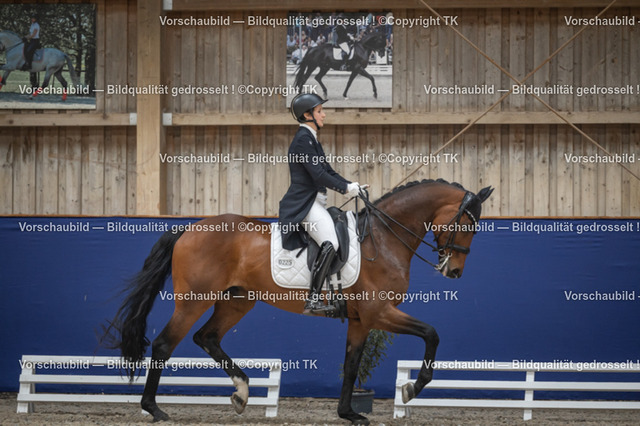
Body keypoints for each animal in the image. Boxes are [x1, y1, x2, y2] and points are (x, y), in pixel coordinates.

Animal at [102, 179, 493, 425]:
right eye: (467, 225)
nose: (454, 271)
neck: (383, 239)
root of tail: (188, 228)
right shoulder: (379, 313)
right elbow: (431, 333)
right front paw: (412, 388)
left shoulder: (361, 320)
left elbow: (352, 365)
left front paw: (349, 413)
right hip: (193, 301)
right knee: (164, 344)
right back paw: (153, 408)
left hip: (237, 302)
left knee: (207, 337)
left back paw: (242, 392)